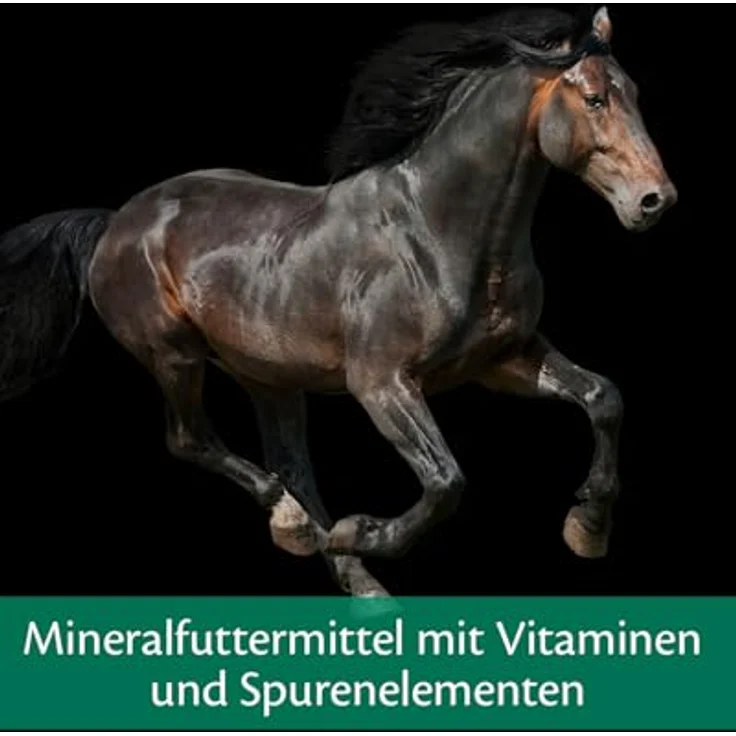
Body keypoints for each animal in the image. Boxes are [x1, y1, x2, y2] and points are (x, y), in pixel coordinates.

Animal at [0, 6, 676, 599]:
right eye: (595, 99)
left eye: (635, 91)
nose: (655, 200)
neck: (436, 230)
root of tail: (116, 222)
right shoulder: (380, 382)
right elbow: (446, 481)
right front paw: (363, 531)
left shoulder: (503, 360)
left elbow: (604, 398)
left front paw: (586, 529)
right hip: (175, 357)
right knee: (192, 441)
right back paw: (297, 526)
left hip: (269, 377)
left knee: (291, 463)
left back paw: (355, 578)